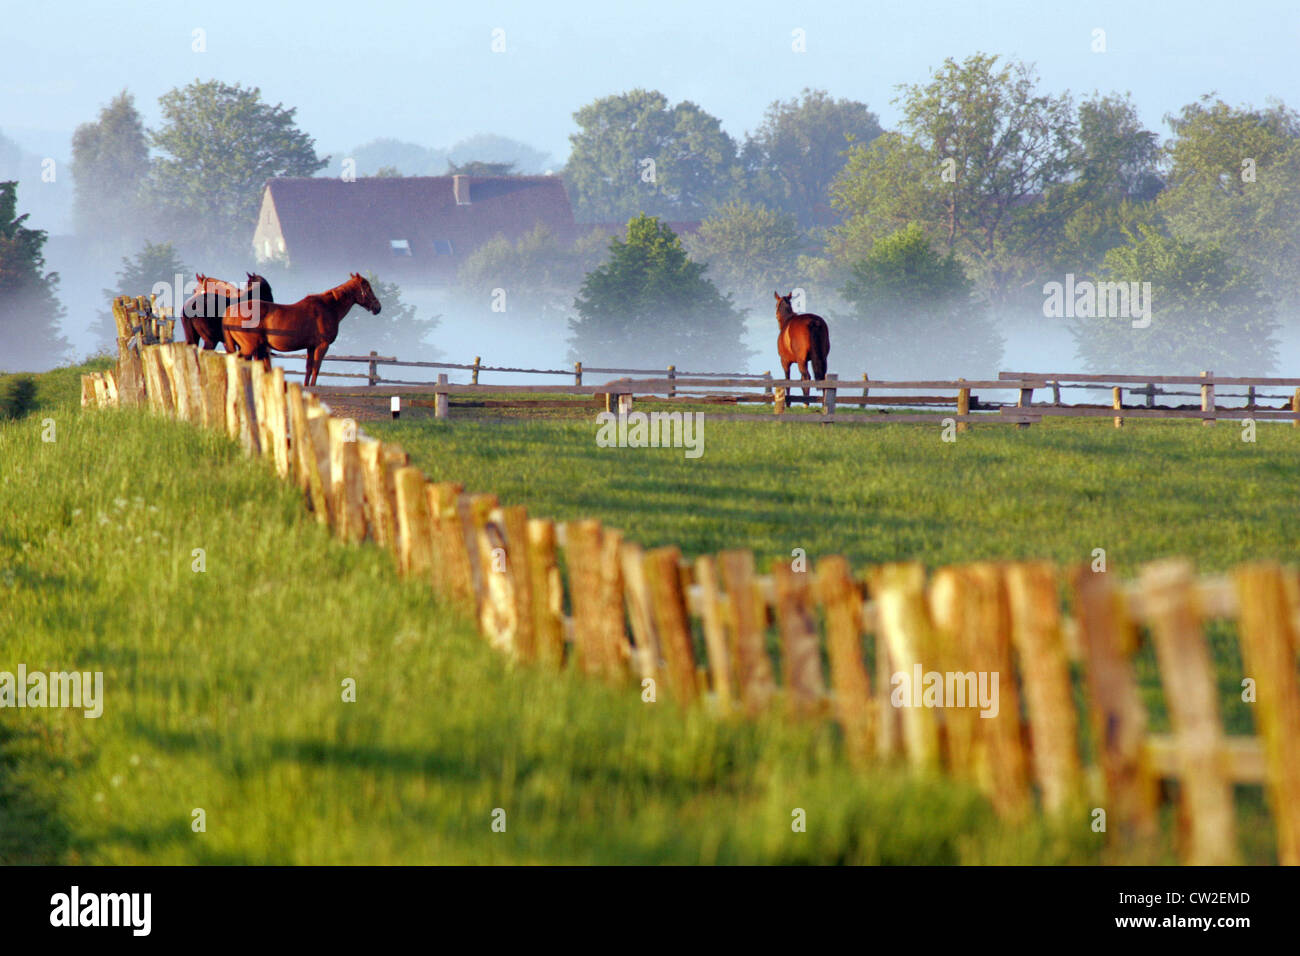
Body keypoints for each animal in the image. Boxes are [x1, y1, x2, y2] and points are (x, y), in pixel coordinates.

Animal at [223, 270, 379, 387]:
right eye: (367, 287)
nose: (378, 307)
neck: (328, 308)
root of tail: (230, 312)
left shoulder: (311, 347)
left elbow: (309, 369)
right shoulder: (322, 346)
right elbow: (316, 368)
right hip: (249, 347)